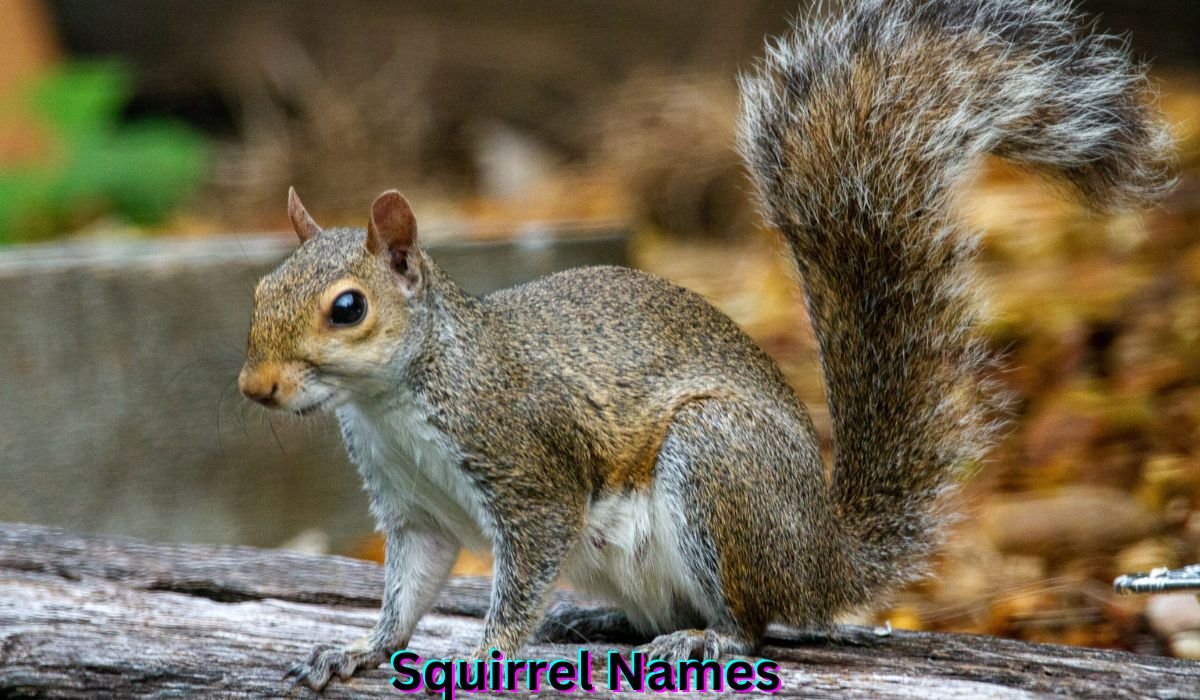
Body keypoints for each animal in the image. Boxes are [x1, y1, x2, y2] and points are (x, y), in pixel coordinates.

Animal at [239, 0, 1172, 691]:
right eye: (257, 293)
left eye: (348, 308)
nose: (255, 390)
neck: (394, 398)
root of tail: (822, 557)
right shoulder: (412, 508)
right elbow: (408, 589)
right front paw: (355, 650)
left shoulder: (528, 468)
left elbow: (524, 567)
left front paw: (484, 653)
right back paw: (601, 617)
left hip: (717, 464)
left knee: (756, 623)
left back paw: (706, 640)